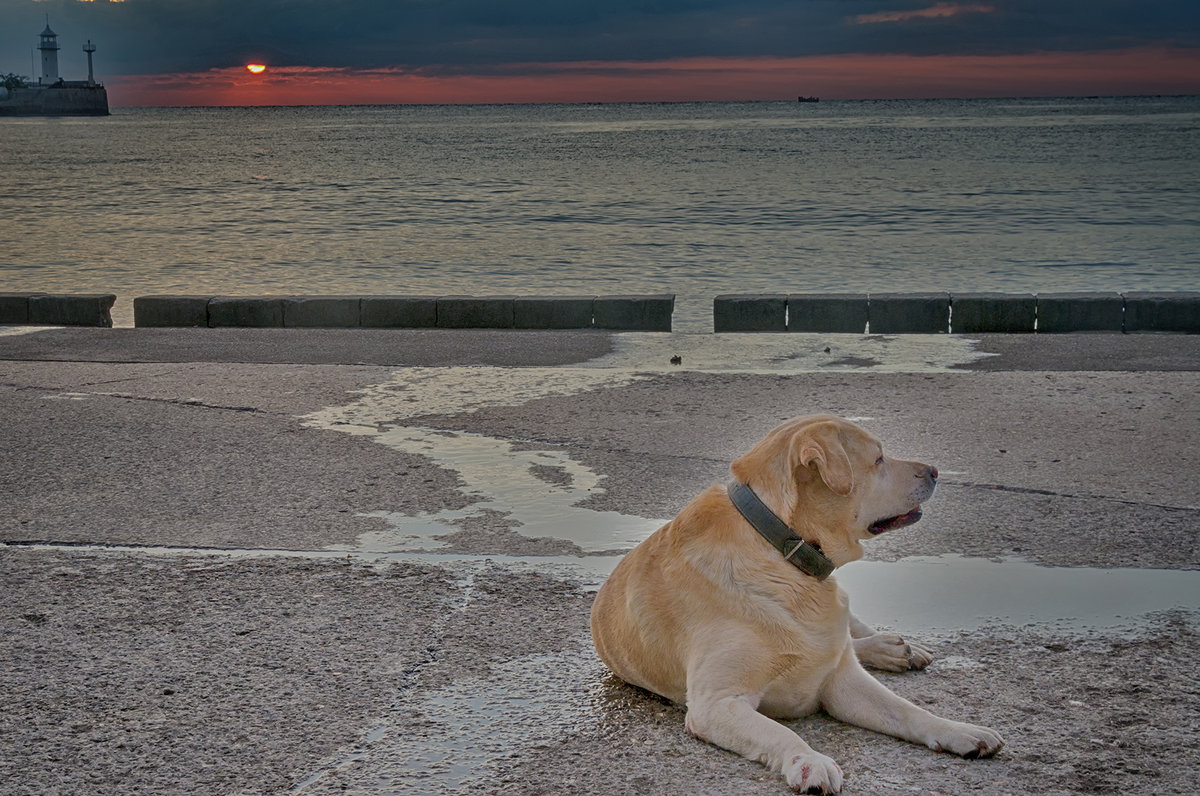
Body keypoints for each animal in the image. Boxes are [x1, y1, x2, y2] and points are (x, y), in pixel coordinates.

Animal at [592, 417, 1003, 792]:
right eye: (878, 459)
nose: (935, 471)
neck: (782, 550)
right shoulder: (716, 704)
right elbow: (779, 732)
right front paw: (808, 760)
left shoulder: (843, 682)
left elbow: (908, 710)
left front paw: (959, 730)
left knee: (853, 633)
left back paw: (897, 648)